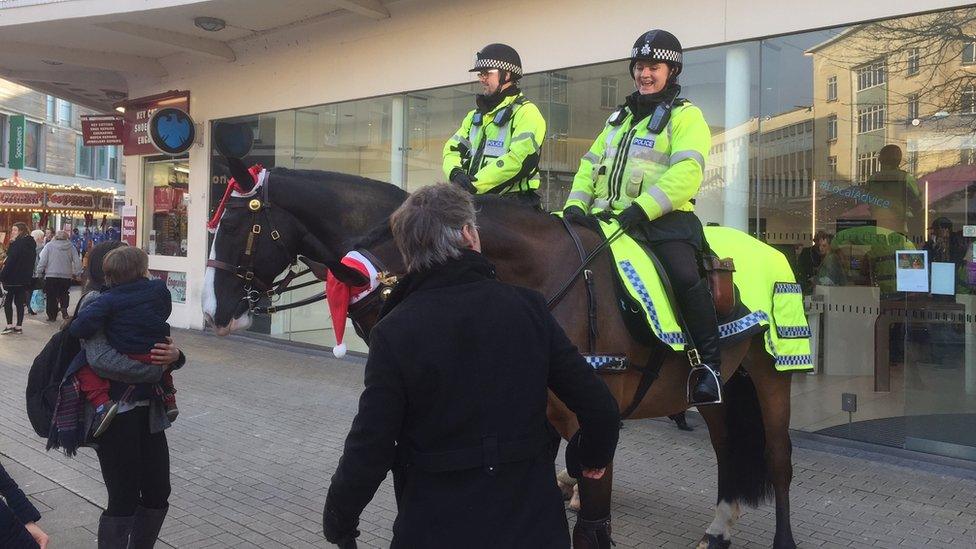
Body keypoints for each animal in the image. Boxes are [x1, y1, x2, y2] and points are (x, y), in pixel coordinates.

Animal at [206, 164, 800, 548]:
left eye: (234, 226)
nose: (217, 312)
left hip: (773, 375)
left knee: (778, 459)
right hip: (722, 383)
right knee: (725, 446)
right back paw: (718, 526)